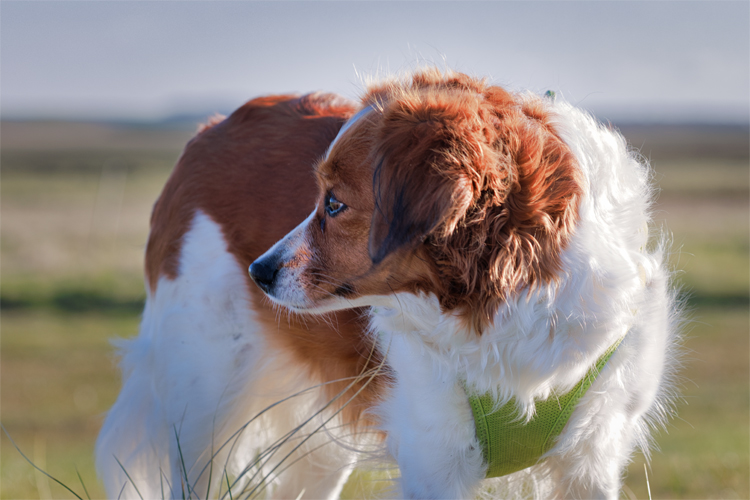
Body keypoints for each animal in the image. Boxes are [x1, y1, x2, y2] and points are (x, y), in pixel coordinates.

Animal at [95, 68, 680, 498]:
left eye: (334, 204)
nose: (257, 272)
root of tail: (211, 129)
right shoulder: (436, 459)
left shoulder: (592, 460)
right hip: (205, 410)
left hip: (321, 442)